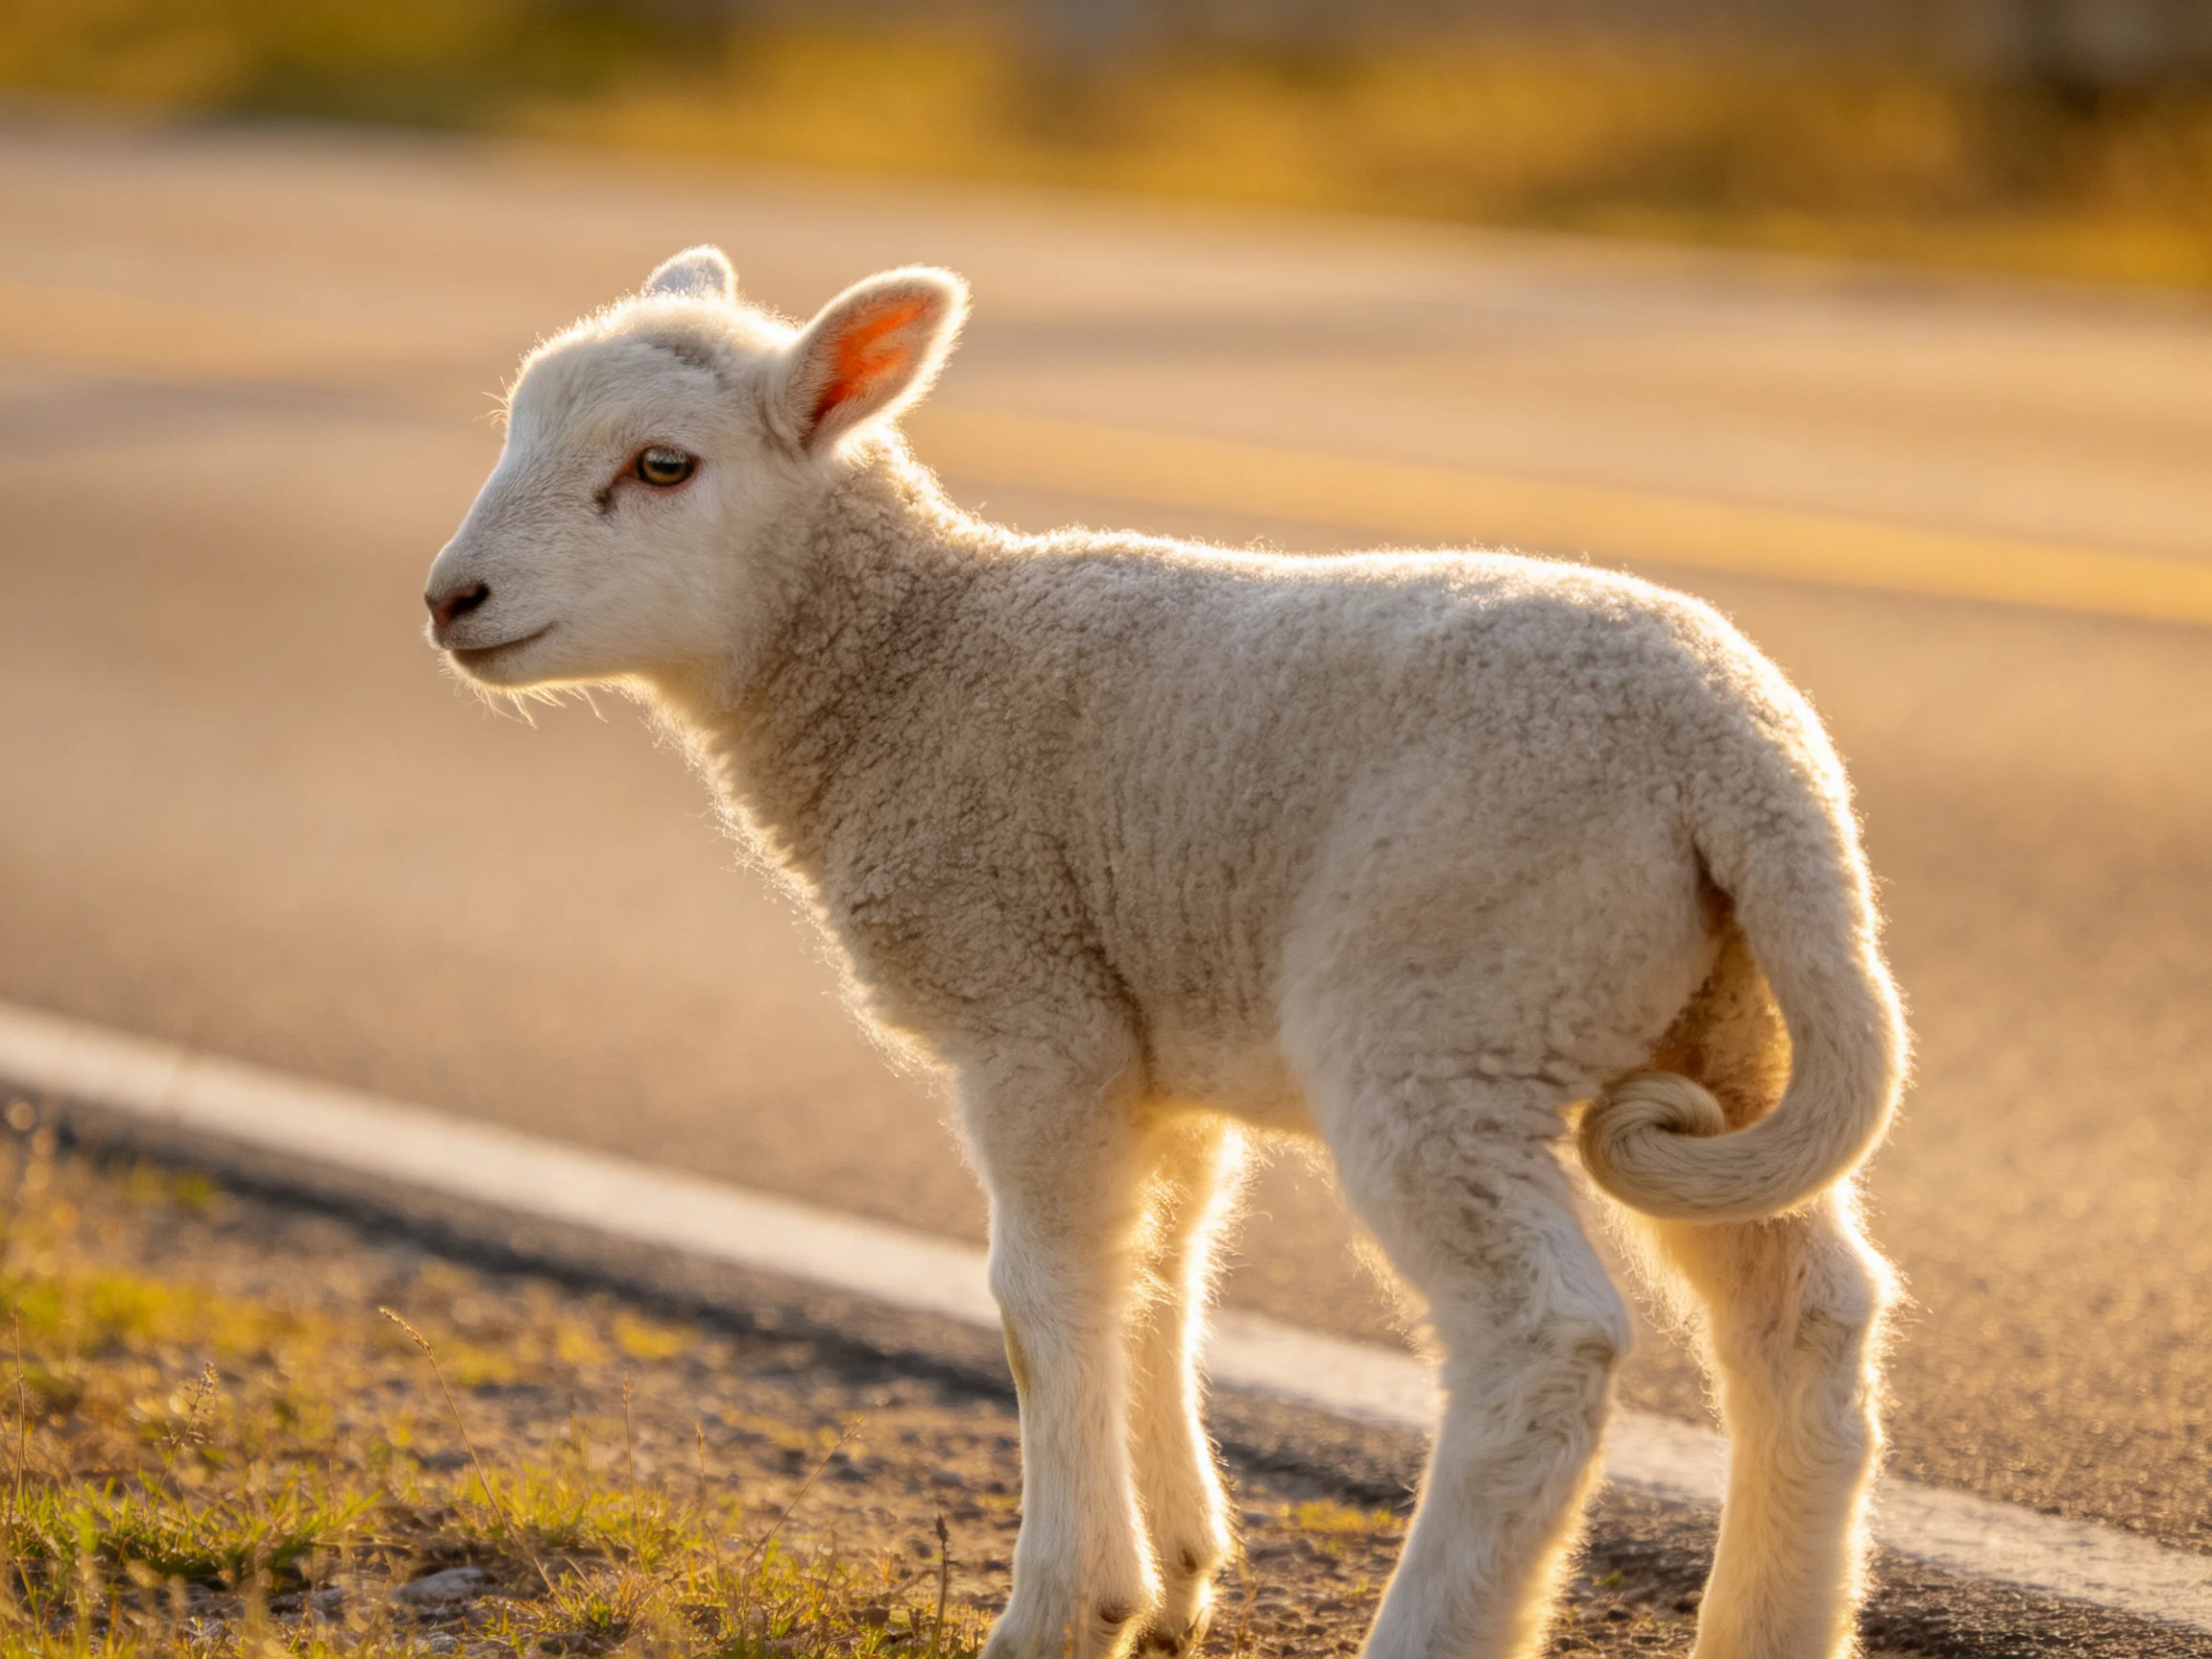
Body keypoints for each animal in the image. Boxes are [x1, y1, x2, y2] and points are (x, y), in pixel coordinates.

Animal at [422, 245, 1904, 1659]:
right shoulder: (1152, 1031)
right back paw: (1774, 1624)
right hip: (1723, 1027)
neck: (909, 664)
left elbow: (1042, 1302)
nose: (450, 599)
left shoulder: (1029, 1007)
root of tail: (1741, 760)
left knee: (1543, 1346)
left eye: (663, 466)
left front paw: (1064, 1609)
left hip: (1450, 1002)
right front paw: (1180, 1573)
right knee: (1807, 1322)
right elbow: (1157, 1277)